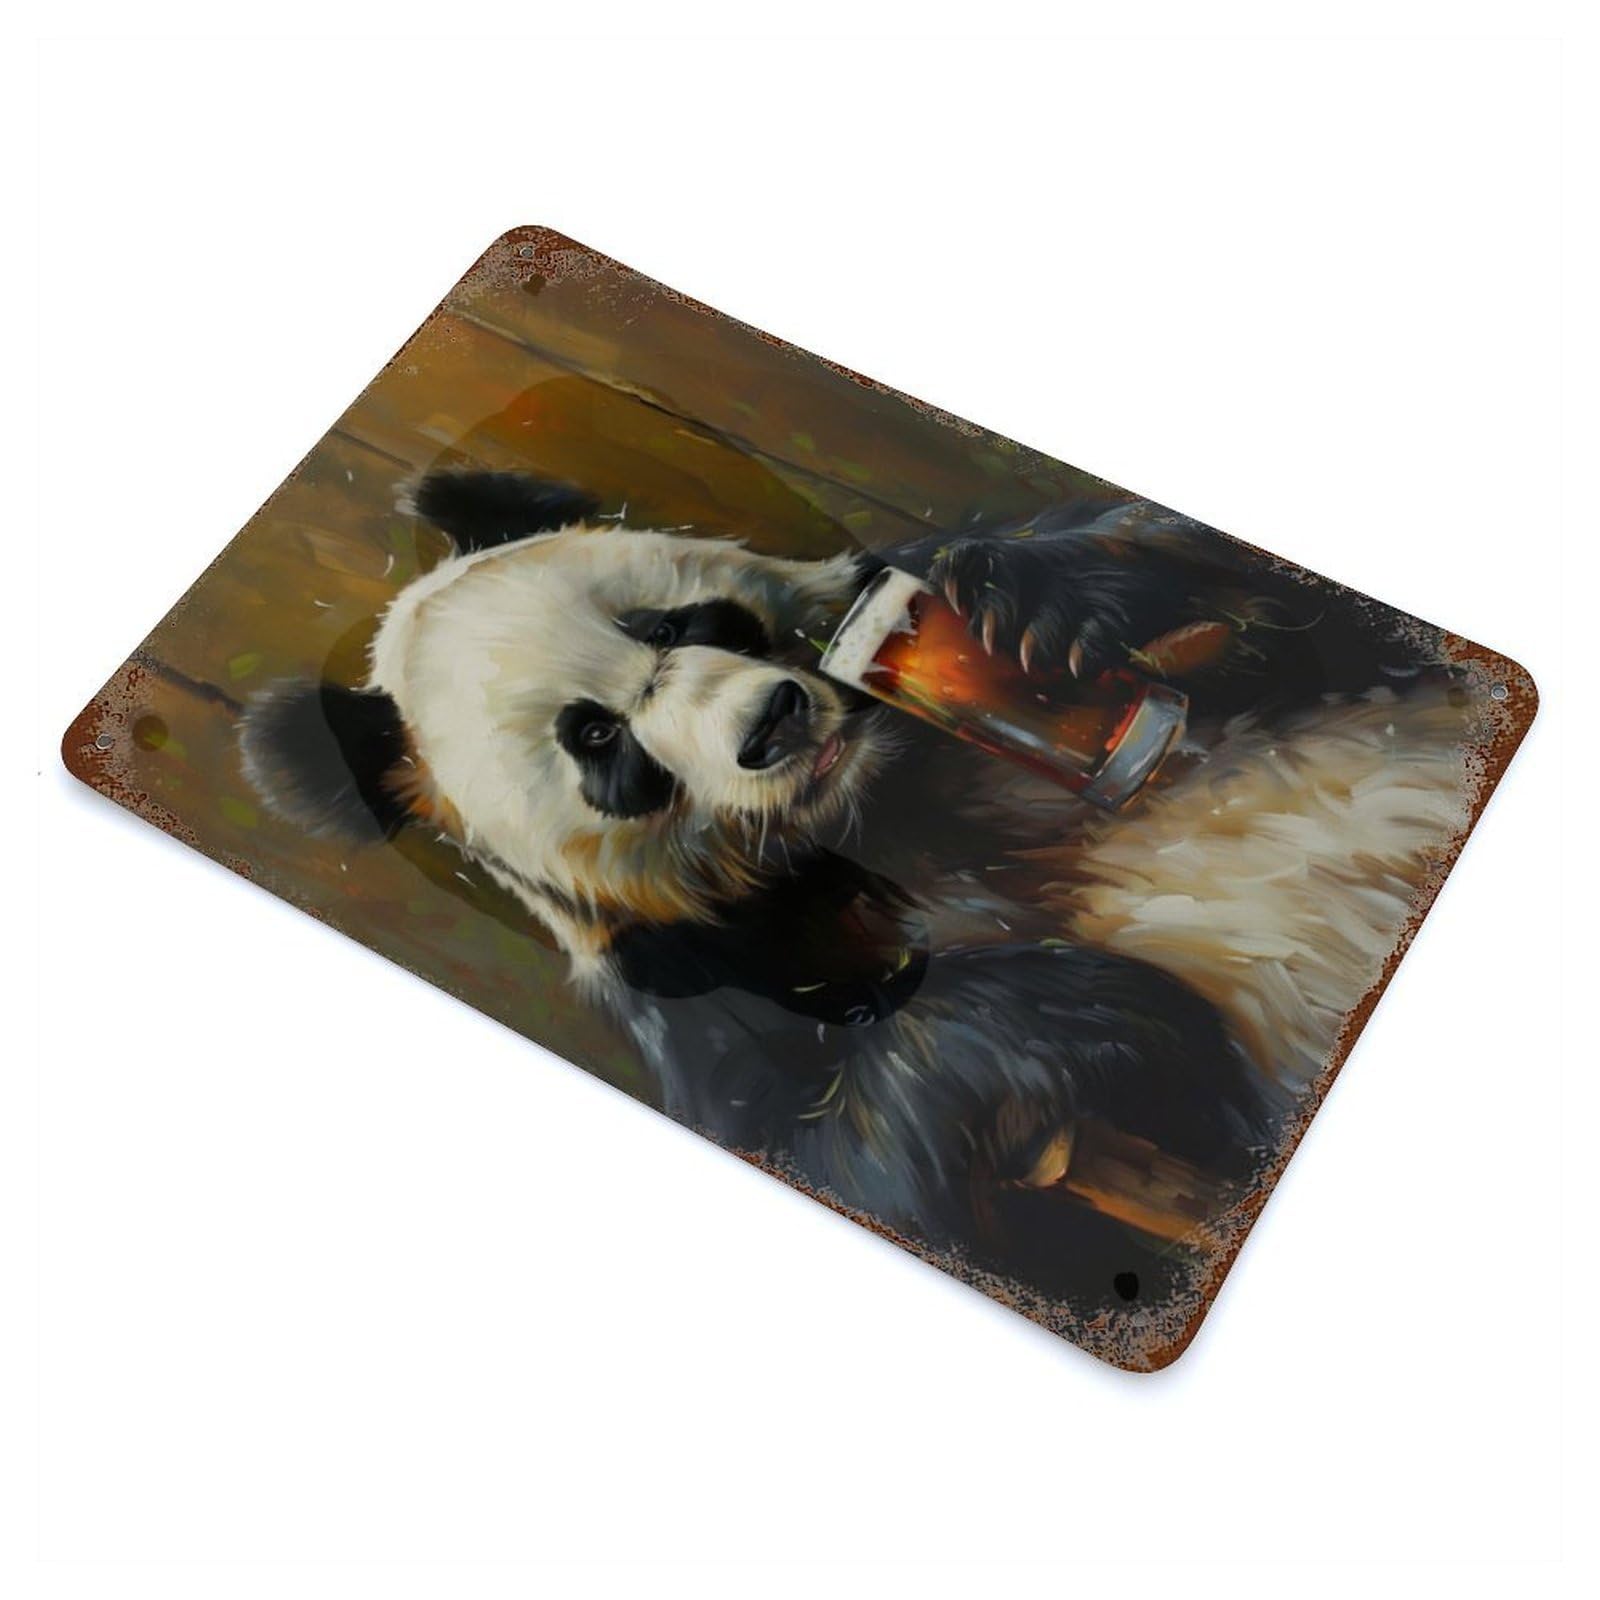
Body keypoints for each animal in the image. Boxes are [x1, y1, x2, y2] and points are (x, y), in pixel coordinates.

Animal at [239, 470, 1472, 1331]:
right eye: (599, 743)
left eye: (672, 625)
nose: (773, 722)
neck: (876, 806)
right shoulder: (712, 981)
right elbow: (860, 1159)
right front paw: (1081, 1021)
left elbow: (1296, 620)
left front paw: (1043, 602)